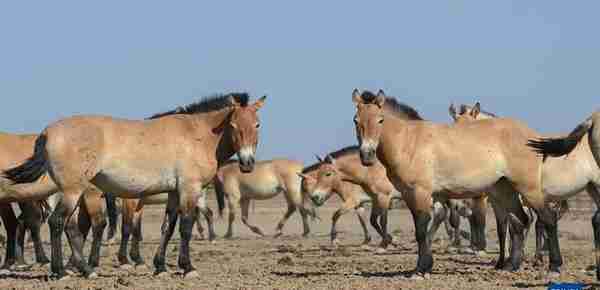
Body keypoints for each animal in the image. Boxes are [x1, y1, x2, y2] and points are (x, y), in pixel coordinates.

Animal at [2, 92, 264, 278]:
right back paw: (63, 271)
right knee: (58, 222)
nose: (247, 163)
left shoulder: (173, 192)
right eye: (233, 125)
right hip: (72, 191)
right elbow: (186, 227)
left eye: (257, 124)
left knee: (70, 226)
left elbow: (168, 227)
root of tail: (47, 132)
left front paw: (160, 267)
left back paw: (83, 269)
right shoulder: (189, 189)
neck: (197, 134)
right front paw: (187, 267)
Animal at [352, 89, 564, 280]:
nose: (366, 156)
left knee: (547, 218)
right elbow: (423, 229)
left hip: (528, 189)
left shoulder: (421, 192)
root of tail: (533, 136)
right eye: (356, 120)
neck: (409, 142)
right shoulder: (410, 195)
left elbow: (421, 229)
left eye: (380, 120)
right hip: (505, 192)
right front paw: (425, 266)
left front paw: (420, 270)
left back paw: (554, 266)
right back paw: (511, 265)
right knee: (520, 222)